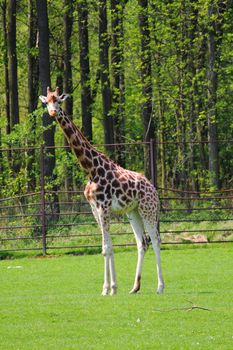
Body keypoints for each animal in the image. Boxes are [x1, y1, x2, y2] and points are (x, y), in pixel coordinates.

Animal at [39, 87, 164, 296]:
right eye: (46, 102)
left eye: (58, 101)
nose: (53, 112)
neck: (90, 170)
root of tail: (153, 189)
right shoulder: (94, 208)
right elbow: (108, 246)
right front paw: (111, 288)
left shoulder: (104, 207)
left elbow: (107, 247)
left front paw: (108, 288)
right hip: (133, 212)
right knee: (142, 242)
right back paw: (135, 287)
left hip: (148, 209)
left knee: (155, 240)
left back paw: (160, 287)